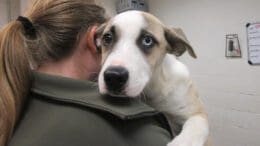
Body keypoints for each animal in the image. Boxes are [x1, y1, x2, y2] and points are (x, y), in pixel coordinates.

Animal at [94, 10, 210, 146]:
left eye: (147, 40)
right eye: (107, 38)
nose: (114, 77)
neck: (153, 89)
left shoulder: (197, 112)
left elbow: (197, 124)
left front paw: (184, 142)